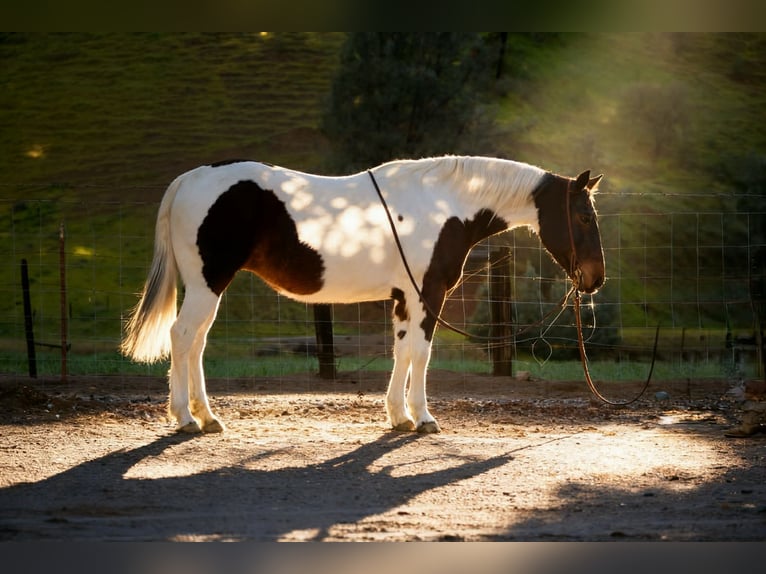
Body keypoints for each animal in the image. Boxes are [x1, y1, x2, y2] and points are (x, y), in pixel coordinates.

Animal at [121, 155, 605, 434]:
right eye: (583, 216)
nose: (595, 279)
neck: (442, 205)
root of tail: (191, 179)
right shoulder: (427, 295)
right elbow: (421, 354)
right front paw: (423, 418)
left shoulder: (406, 298)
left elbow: (402, 351)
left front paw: (399, 416)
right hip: (207, 284)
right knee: (183, 337)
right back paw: (185, 418)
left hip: (208, 288)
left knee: (196, 343)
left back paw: (205, 416)